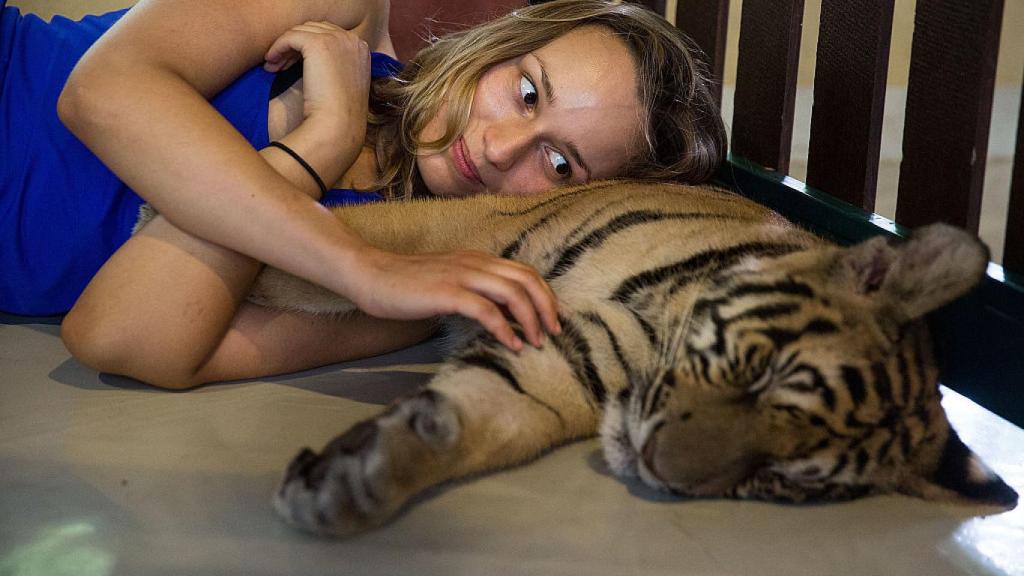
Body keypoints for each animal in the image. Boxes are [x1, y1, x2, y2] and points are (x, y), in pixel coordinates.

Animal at [239, 180, 1017, 537]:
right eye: (764, 377)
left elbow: (476, 417)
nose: (654, 467)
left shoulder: (558, 361)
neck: (656, 322)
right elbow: (333, 243)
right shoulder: (476, 229)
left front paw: (356, 483)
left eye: (781, 477)